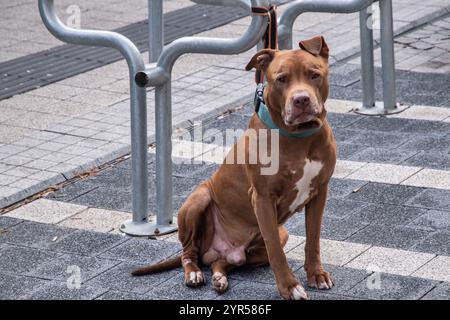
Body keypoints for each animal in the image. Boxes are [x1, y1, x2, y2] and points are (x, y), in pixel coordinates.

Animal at [134, 35, 338, 300]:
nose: (301, 99)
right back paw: (194, 273)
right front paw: (289, 287)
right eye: (281, 79)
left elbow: (313, 238)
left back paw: (219, 277)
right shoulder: (262, 198)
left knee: (225, 262)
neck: (299, 137)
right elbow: (275, 250)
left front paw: (316, 275)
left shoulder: (319, 191)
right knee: (188, 252)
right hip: (198, 200)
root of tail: (212, 250)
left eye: (314, 75)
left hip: (278, 234)